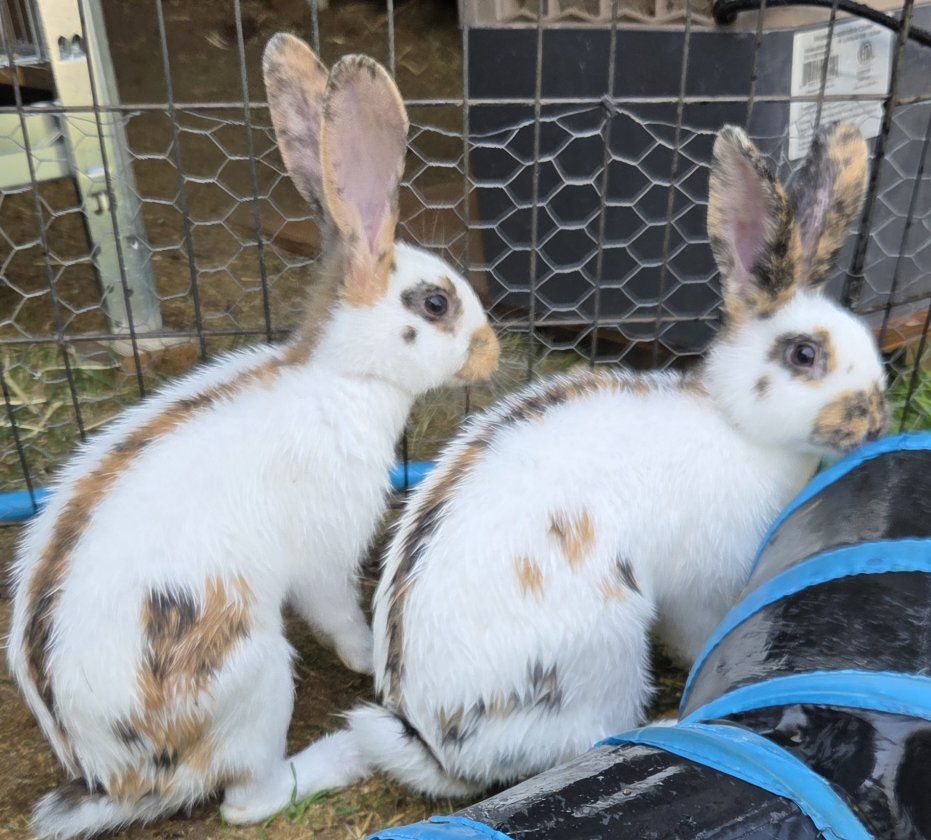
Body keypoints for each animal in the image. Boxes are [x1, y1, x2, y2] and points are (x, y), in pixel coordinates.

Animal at [6, 33, 499, 839]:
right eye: (434, 303)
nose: (491, 352)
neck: (341, 378)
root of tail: (115, 777)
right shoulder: (325, 556)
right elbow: (340, 616)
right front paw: (366, 665)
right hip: (255, 672)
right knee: (248, 801)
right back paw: (339, 756)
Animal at [275, 121, 888, 802]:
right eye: (804, 354)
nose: (875, 420)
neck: (736, 426)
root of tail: (438, 747)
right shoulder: (700, 587)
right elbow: (698, 633)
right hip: (607, 644)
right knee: (590, 738)